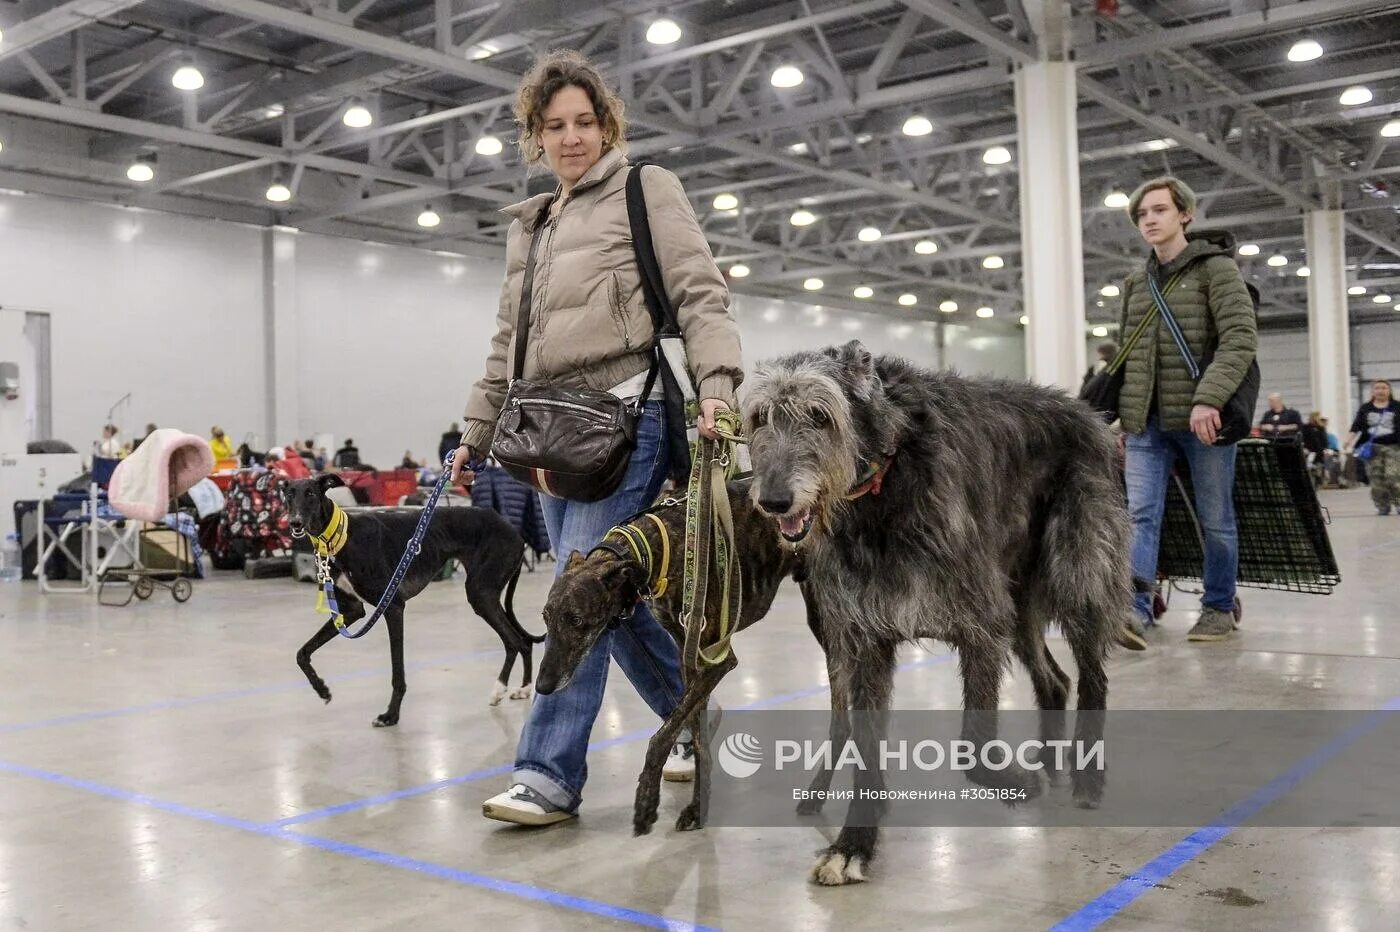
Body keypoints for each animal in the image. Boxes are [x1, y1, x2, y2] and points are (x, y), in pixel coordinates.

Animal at [282, 472, 540, 727]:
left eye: (311, 494)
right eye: (288, 495)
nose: (295, 523)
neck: (341, 537)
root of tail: (515, 533)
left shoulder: (393, 607)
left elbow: (397, 672)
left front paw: (391, 715)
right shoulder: (351, 610)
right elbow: (301, 653)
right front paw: (322, 690)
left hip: (481, 593)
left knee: (514, 641)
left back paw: (500, 689)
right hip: (488, 592)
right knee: (522, 642)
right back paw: (524, 688)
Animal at [532, 481, 800, 828]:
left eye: (577, 620)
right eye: (545, 617)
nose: (542, 686)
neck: (653, 546)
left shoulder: (718, 660)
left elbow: (660, 736)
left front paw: (647, 798)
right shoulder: (690, 656)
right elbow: (694, 731)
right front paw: (698, 806)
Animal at [744, 341, 1125, 884]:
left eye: (820, 415)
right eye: (759, 418)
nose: (774, 500)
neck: (885, 482)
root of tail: (1092, 417)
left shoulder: (981, 623)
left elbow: (973, 746)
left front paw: (1016, 782)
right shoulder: (866, 639)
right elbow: (865, 746)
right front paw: (854, 844)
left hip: (1079, 568)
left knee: (1093, 674)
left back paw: (1086, 777)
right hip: (1018, 602)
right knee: (1054, 680)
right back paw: (1052, 761)